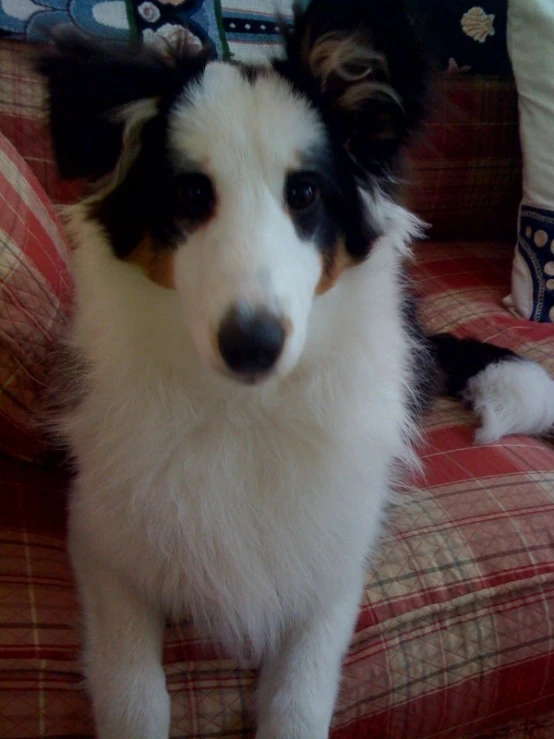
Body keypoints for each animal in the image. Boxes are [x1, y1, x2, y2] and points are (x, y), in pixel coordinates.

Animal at [37, 0, 552, 736]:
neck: (246, 410)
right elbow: (131, 687)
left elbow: (299, 694)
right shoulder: (100, 530)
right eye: (190, 195)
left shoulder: (337, 553)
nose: (252, 343)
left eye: (304, 192)